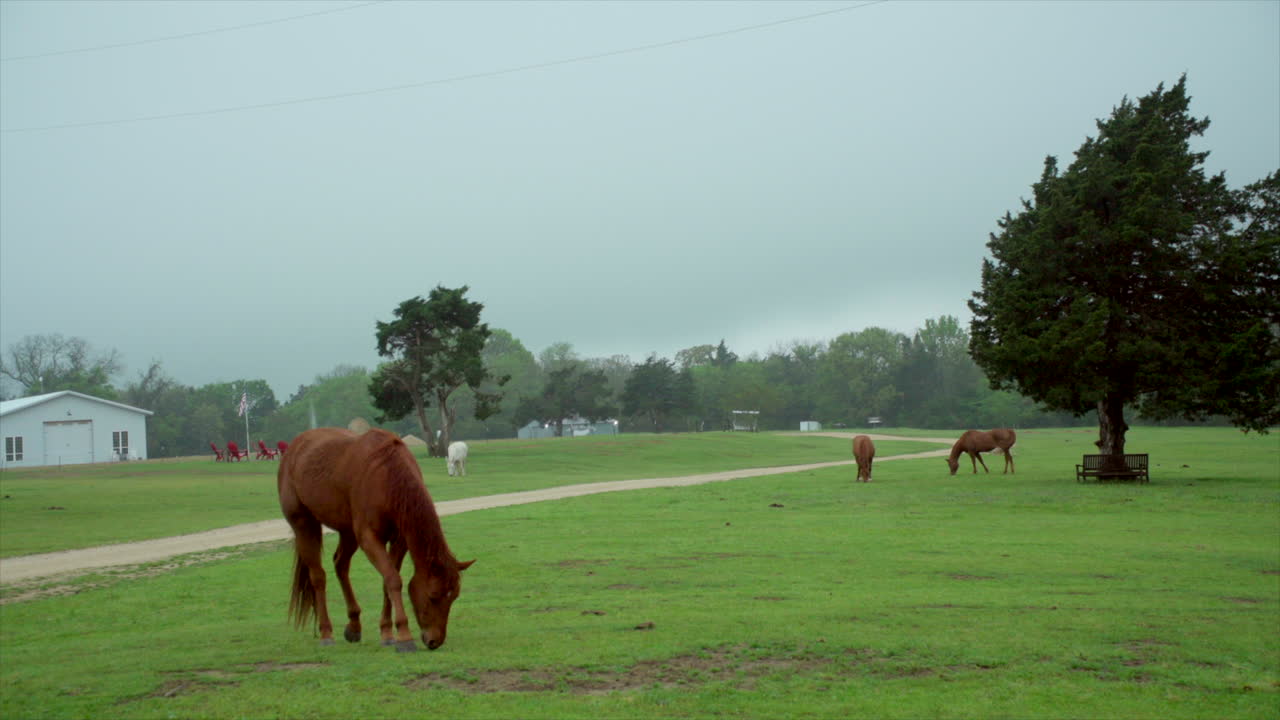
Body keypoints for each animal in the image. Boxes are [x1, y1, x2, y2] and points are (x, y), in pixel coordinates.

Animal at [277, 427, 474, 652]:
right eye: (433, 596)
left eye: (454, 596)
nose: (435, 640)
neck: (387, 476)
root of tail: (294, 448)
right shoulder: (369, 538)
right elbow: (393, 580)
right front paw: (404, 636)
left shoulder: (399, 540)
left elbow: (387, 581)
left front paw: (387, 632)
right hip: (304, 524)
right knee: (318, 577)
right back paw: (326, 632)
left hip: (348, 532)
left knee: (340, 565)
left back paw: (354, 625)